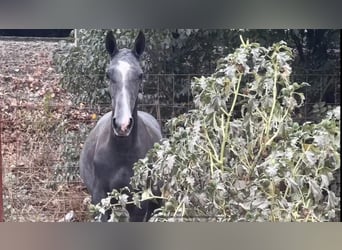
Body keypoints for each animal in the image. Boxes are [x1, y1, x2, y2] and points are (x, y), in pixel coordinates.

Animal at [79, 30, 162, 221]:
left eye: (140, 74)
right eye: (108, 74)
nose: (123, 125)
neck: (122, 152)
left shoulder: (140, 203)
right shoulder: (100, 199)